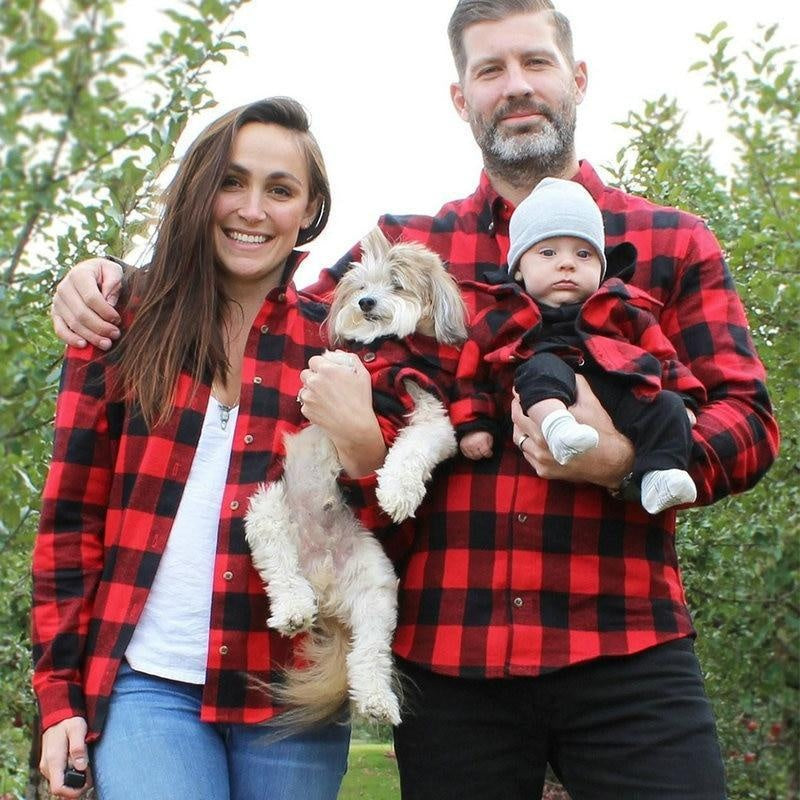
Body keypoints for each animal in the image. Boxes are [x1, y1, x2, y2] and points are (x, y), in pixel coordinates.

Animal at [245, 227, 468, 732]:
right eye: (361, 284)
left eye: (396, 284)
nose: (365, 302)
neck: (385, 350)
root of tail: (323, 587)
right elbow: (342, 363)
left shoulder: (433, 414)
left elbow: (413, 449)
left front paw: (397, 492)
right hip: (267, 511)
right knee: (281, 571)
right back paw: (293, 609)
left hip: (376, 590)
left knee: (369, 655)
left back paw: (377, 700)